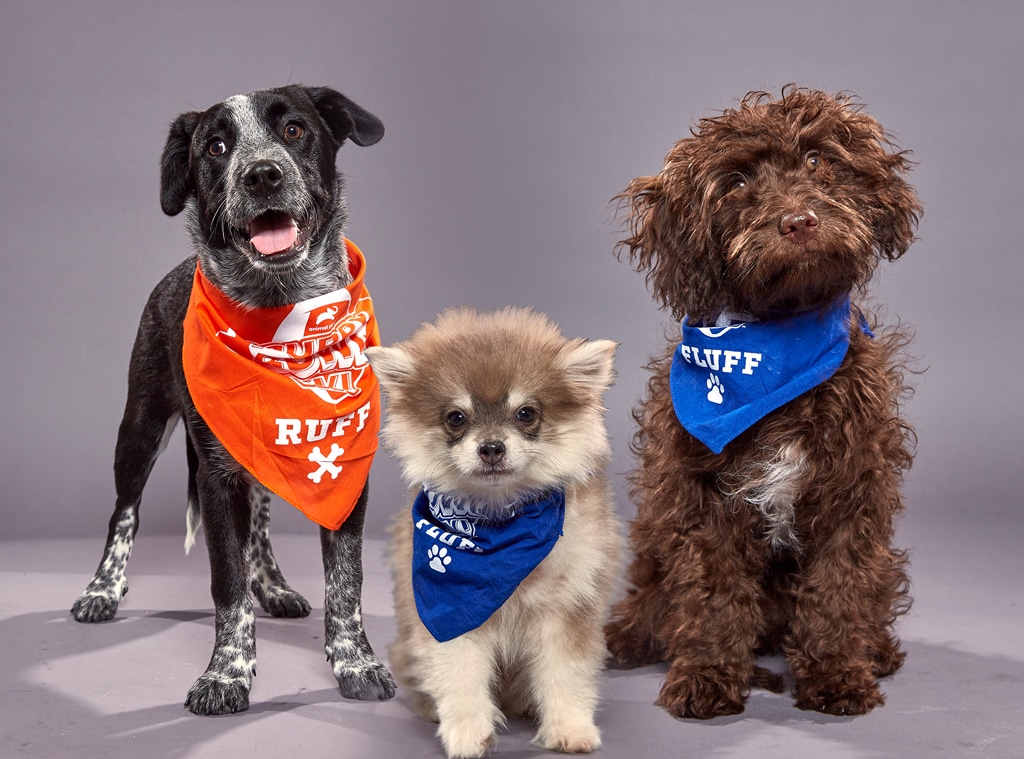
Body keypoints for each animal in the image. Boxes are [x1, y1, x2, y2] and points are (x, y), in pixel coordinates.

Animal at [71, 86, 395, 712]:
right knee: (124, 512)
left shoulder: (348, 473)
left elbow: (346, 582)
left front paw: (356, 662)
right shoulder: (216, 479)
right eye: (216, 147)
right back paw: (103, 590)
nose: (262, 174)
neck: (280, 313)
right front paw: (226, 674)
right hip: (140, 426)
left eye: (293, 130)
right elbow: (226, 584)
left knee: (261, 525)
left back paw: (272, 585)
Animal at [602, 87, 925, 717]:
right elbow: (712, 594)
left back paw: (874, 648)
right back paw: (627, 637)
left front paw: (836, 672)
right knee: (654, 604)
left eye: (819, 160)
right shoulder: (700, 498)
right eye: (734, 184)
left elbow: (836, 589)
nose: (798, 221)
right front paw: (706, 674)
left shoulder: (851, 489)